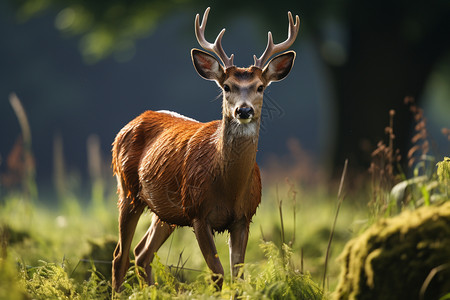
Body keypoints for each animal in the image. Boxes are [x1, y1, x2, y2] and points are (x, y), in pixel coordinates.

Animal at [111, 7, 298, 292]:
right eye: (227, 86)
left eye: (260, 86)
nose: (244, 110)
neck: (228, 187)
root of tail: (129, 124)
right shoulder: (198, 212)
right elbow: (217, 274)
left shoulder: (244, 217)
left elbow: (238, 275)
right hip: (128, 189)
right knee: (120, 254)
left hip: (165, 211)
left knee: (141, 253)